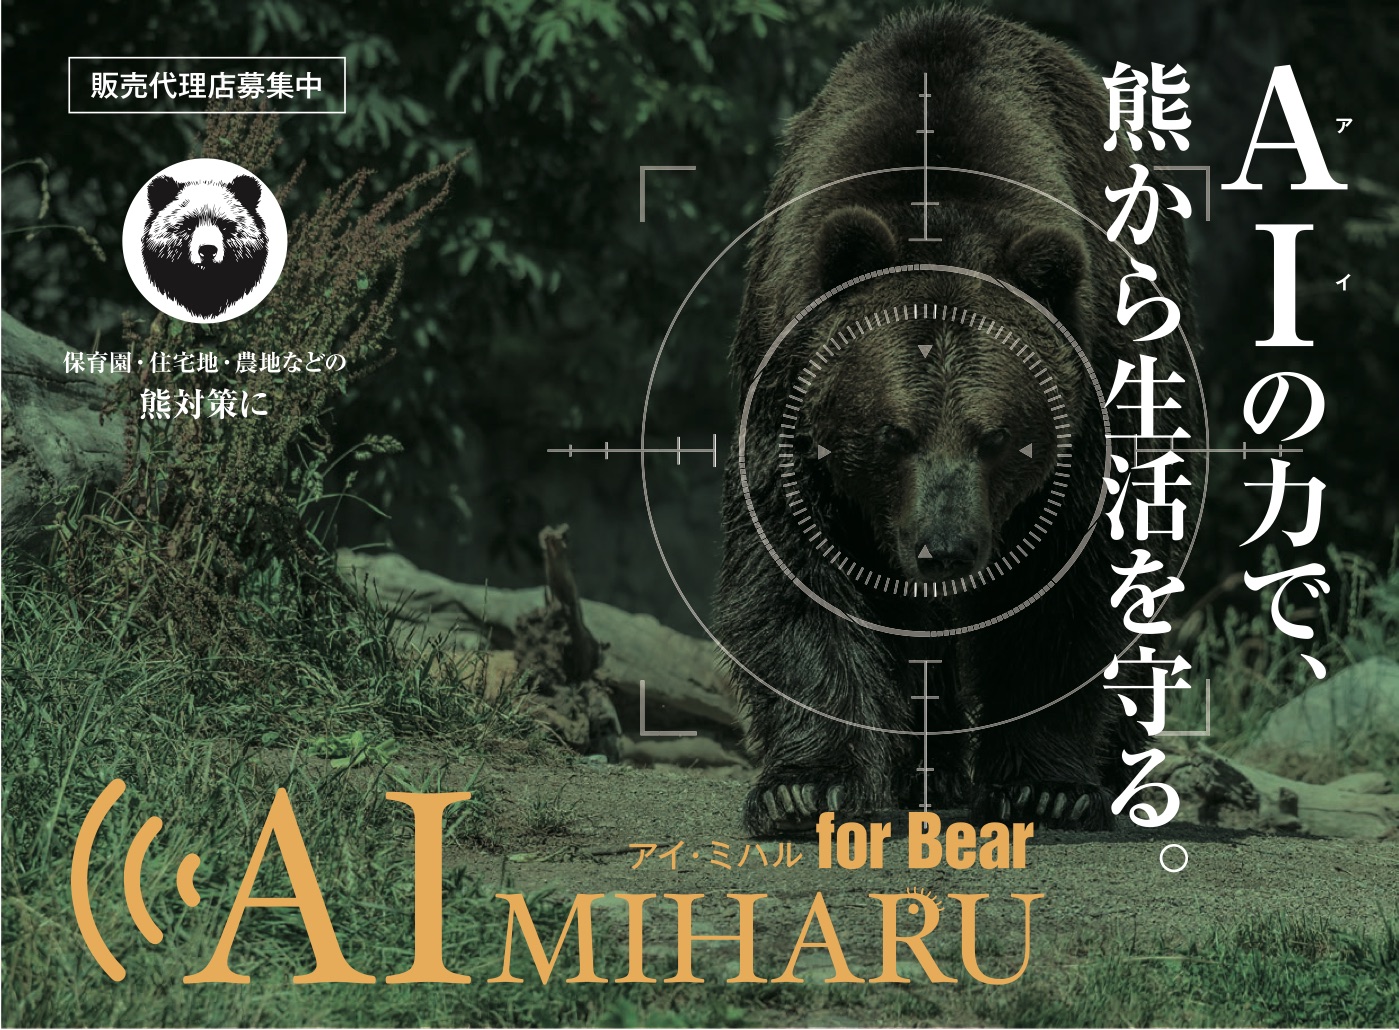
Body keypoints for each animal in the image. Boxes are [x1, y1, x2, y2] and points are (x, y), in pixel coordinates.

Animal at [715, 7, 1201, 836]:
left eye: (998, 437)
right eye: (892, 434)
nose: (945, 549)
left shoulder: (1096, 396)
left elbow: (1073, 592)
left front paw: (1044, 786)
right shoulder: (788, 397)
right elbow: (795, 583)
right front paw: (807, 787)